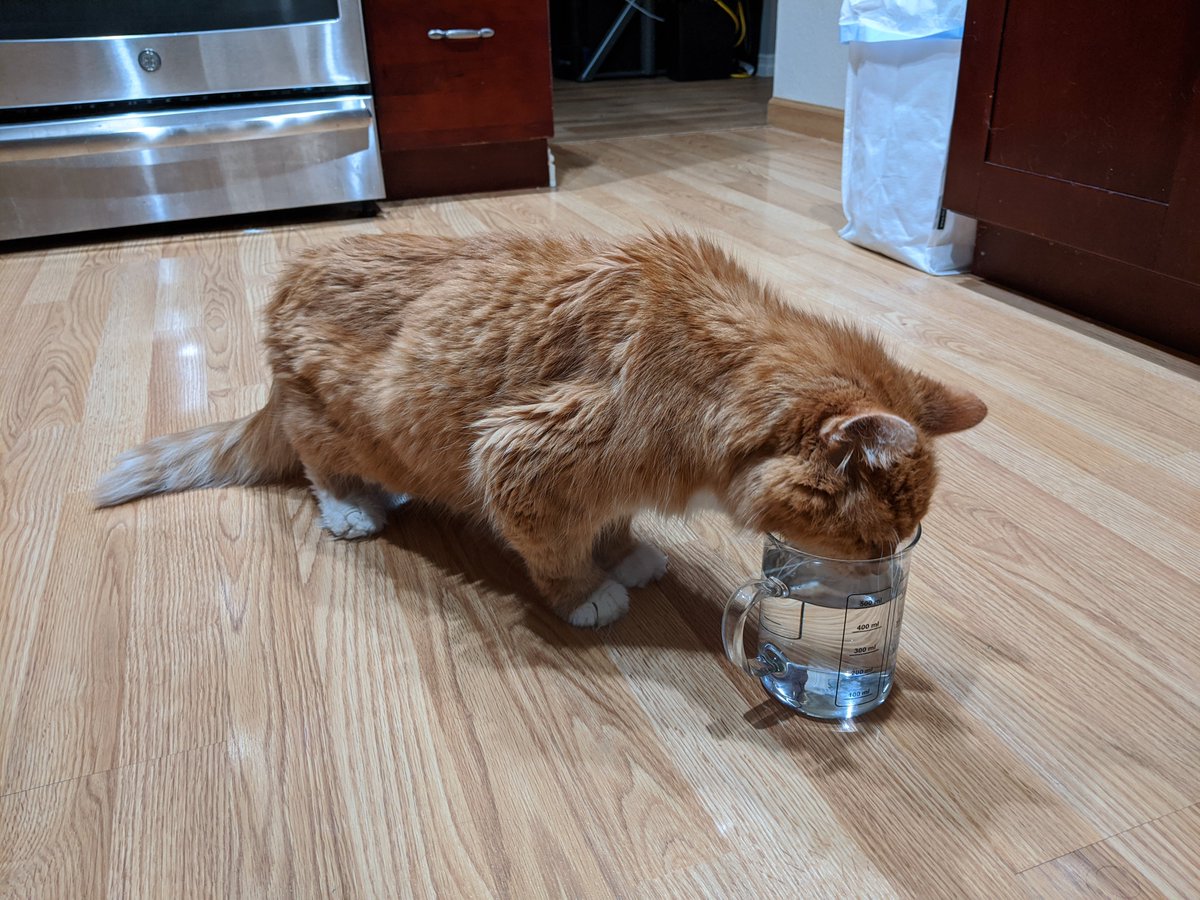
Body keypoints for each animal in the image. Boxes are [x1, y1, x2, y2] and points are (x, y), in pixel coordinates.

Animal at [96, 232, 984, 628]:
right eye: (871, 543)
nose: (879, 575)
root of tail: (289, 276)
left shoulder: (598, 480)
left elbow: (613, 521)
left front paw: (624, 554)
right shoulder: (517, 456)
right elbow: (554, 548)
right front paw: (587, 592)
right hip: (331, 420)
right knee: (321, 466)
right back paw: (354, 506)